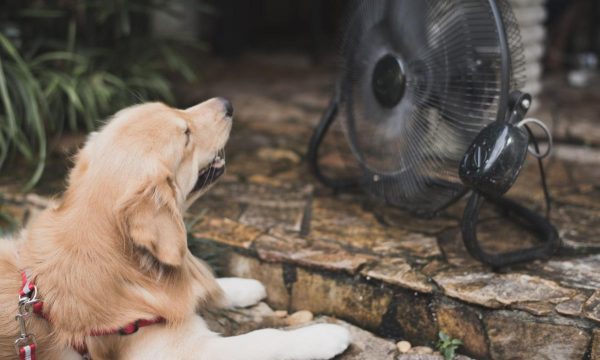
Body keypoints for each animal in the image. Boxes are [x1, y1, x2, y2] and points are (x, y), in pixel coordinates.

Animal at [0, 99, 352, 360]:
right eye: (186, 136)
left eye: (174, 107)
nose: (227, 103)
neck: (125, 263)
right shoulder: (184, 350)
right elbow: (265, 338)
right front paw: (325, 335)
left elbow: (205, 283)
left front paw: (243, 286)